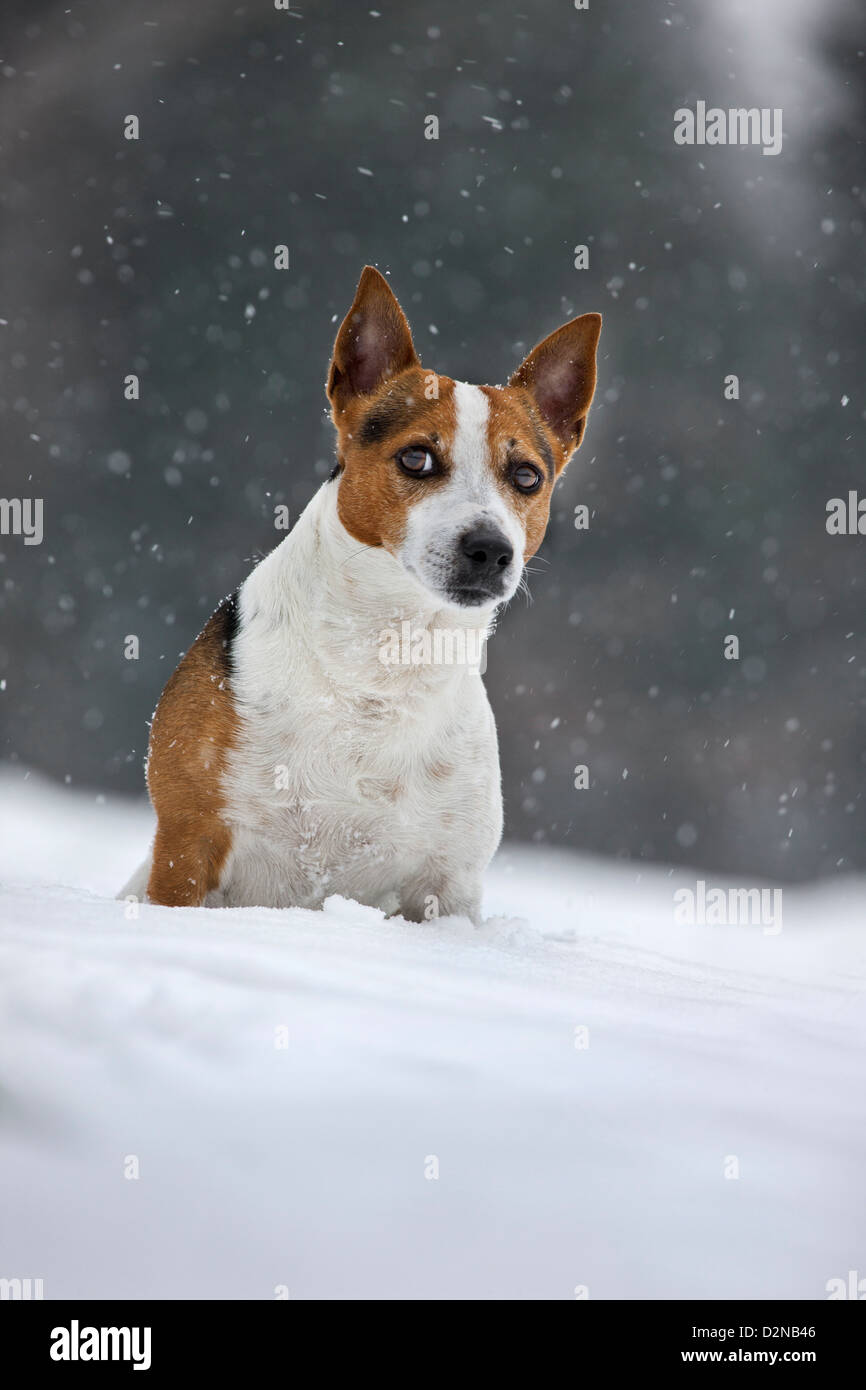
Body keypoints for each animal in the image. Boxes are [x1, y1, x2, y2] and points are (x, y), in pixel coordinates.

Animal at [118, 269, 600, 922]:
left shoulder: (447, 885)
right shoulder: (186, 843)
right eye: (417, 457)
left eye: (527, 477)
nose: (491, 549)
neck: (384, 665)